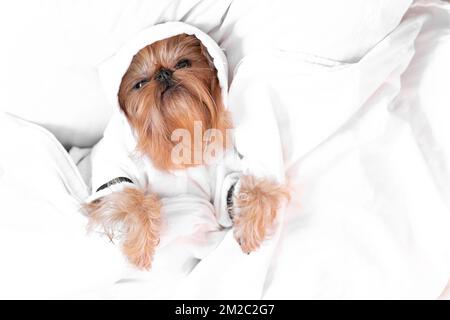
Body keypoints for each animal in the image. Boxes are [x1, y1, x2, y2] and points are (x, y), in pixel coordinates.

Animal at [83, 31, 288, 268]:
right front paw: (140, 248)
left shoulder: (223, 176)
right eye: (140, 84)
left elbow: (247, 191)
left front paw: (250, 226)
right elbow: (133, 201)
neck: (179, 131)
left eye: (183, 63)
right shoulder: (117, 171)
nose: (163, 73)